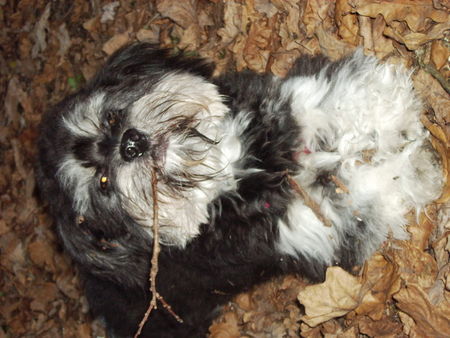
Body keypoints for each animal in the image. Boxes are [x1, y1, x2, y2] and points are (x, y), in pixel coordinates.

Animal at [36, 43, 442, 336]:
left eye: (110, 118)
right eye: (103, 183)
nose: (130, 144)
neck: (233, 171)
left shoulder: (282, 108)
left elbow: (326, 99)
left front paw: (388, 102)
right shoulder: (309, 228)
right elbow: (365, 192)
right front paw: (414, 170)